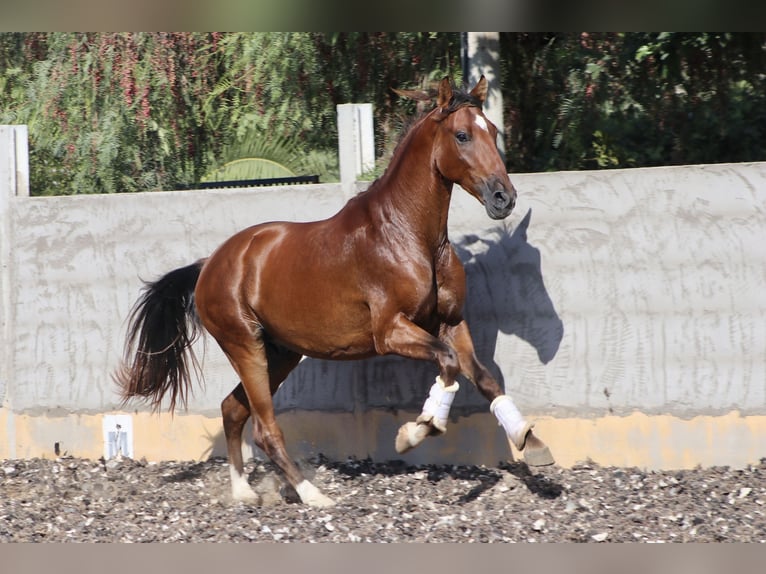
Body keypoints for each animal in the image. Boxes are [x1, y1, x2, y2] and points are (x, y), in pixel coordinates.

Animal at [115, 75, 552, 508]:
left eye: (492, 131)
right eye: (462, 135)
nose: (504, 197)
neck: (409, 235)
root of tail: (209, 265)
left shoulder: (451, 322)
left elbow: (486, 379)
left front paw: (530, 441)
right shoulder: (390, 331)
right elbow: (447, 365)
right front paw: (416, 431)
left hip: (281, 353)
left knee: (233, 409)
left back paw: (243, 491)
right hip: (245, 346)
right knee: (265, 427)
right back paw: (312, 495)